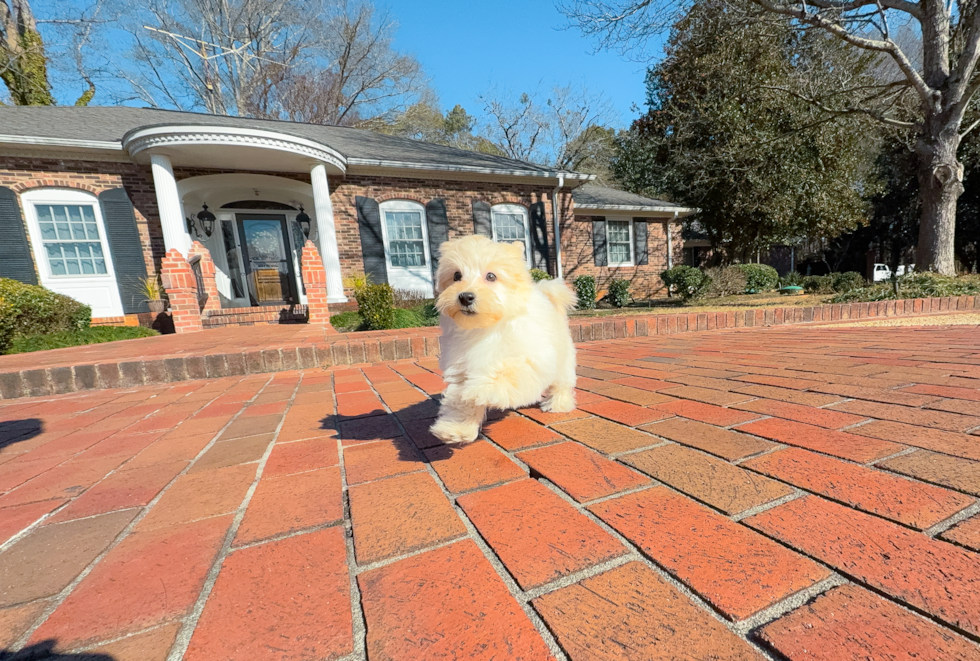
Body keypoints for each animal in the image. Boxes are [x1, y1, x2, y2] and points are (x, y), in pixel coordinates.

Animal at [426, 233, 576, 444]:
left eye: (491, 276)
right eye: (456, 276)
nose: (465, 297)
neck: (485, 328)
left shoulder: (530, 360)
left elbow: (505, 373)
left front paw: (480, 389)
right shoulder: (460, 367)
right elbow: (460, 401)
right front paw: (456, 428)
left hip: (562, 360)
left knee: (562, 383)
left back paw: (558, 403)